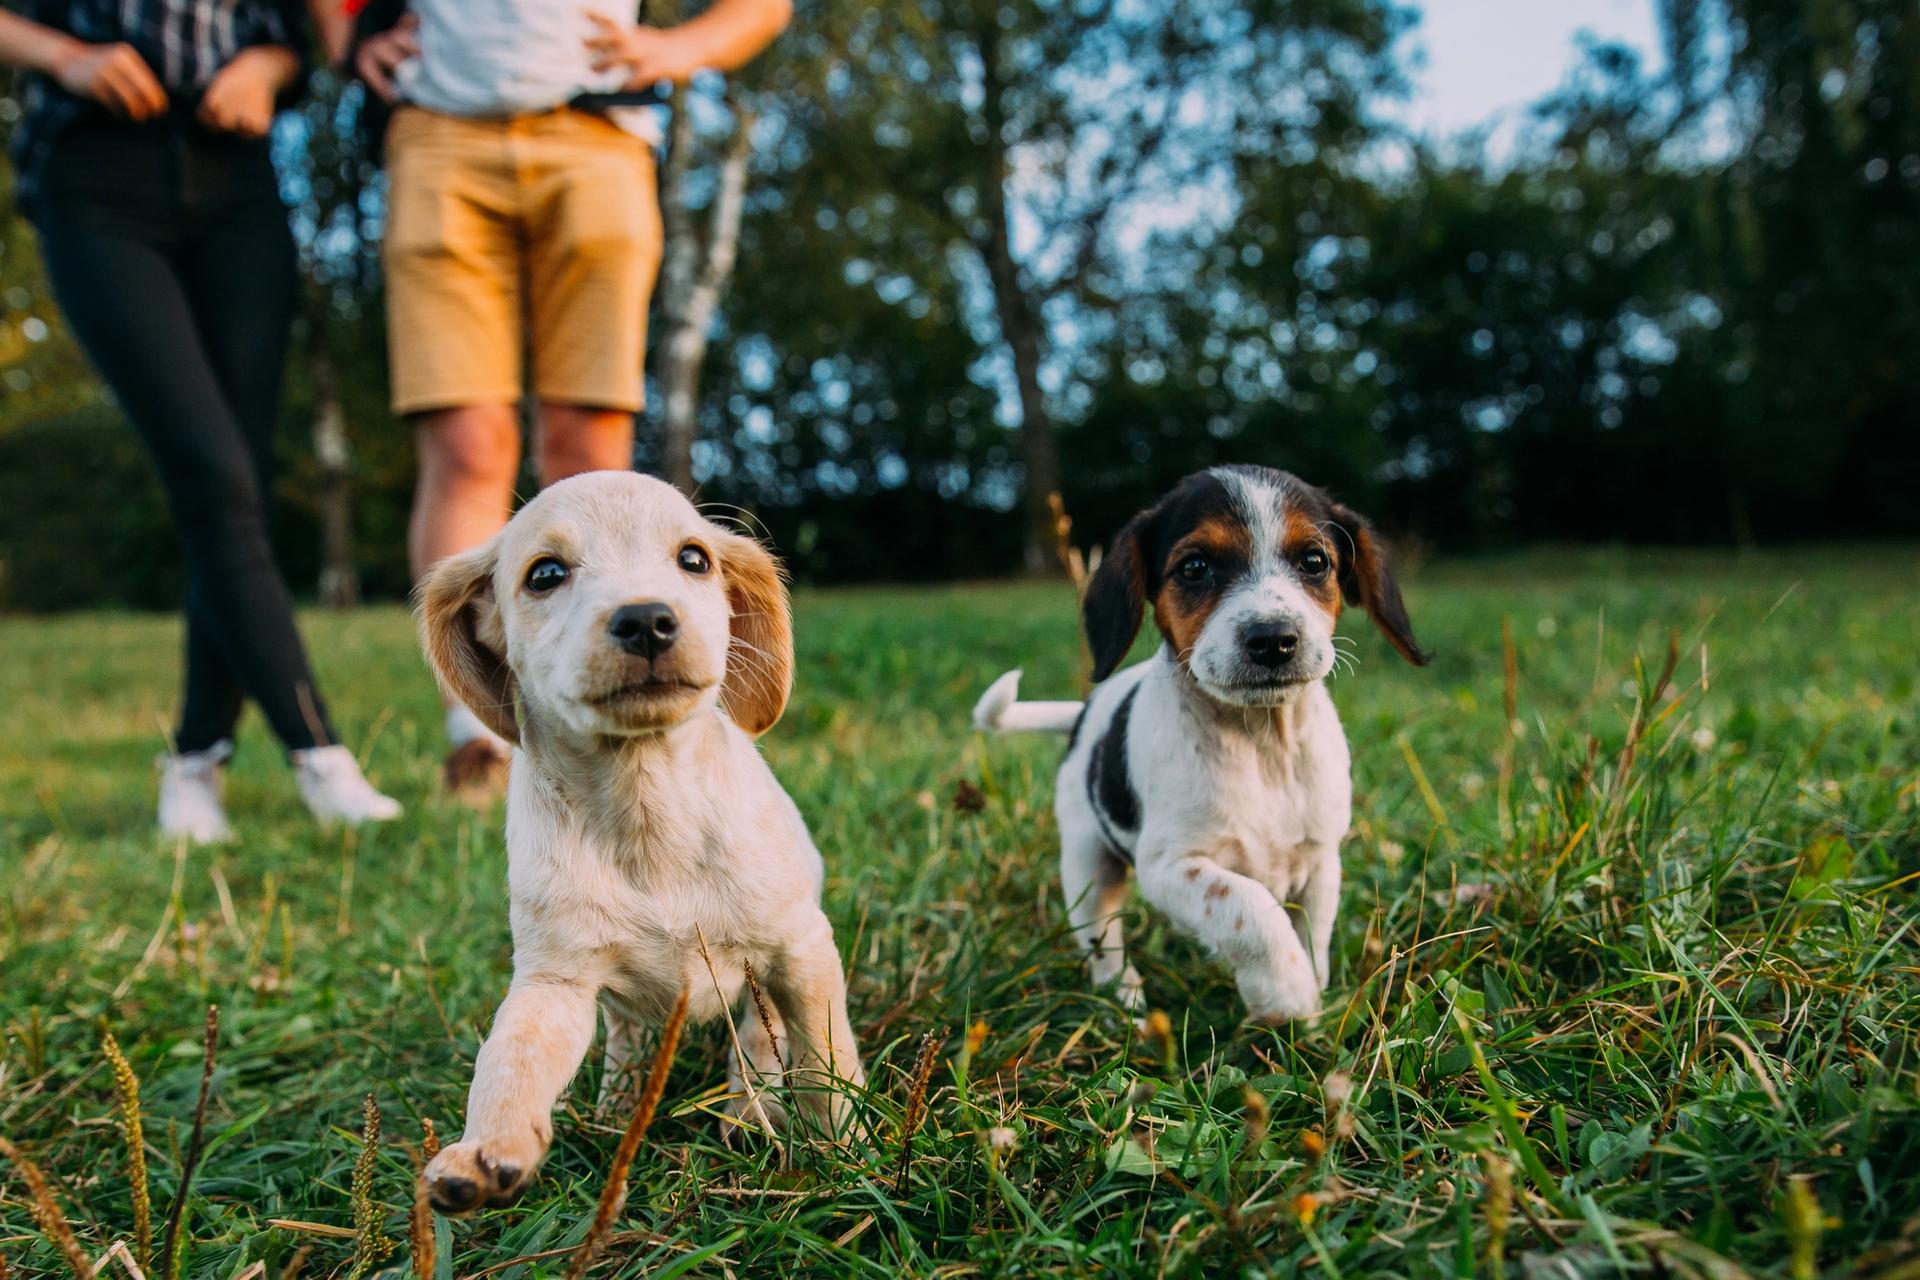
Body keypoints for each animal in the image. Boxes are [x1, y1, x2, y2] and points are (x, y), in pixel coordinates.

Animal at [424, 470, 875, 1212]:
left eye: (694, 559)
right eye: (545, 574)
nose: (647, 620)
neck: (646, 807)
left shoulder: (801, 949)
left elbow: (822, 1058)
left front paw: (847, 1151)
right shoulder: (554, 980)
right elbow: (509, 1059)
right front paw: (486, 1150)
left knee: (760, 1040)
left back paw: (750, 1112)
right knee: (629, 1038)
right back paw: (618, 1107)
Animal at [975, 466, 1428, 1028]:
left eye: (1314, 561)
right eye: (1194, 568)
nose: (1273, 639)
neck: (1259, 744)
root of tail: (1084, 716)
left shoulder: (1321, 860)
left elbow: (1311, 937)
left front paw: (1311, 1008)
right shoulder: (1170, 866)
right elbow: (1250, 910)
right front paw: (1286, 994)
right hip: (1087, 864)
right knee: (1103, 941)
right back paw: (1124, 1001)